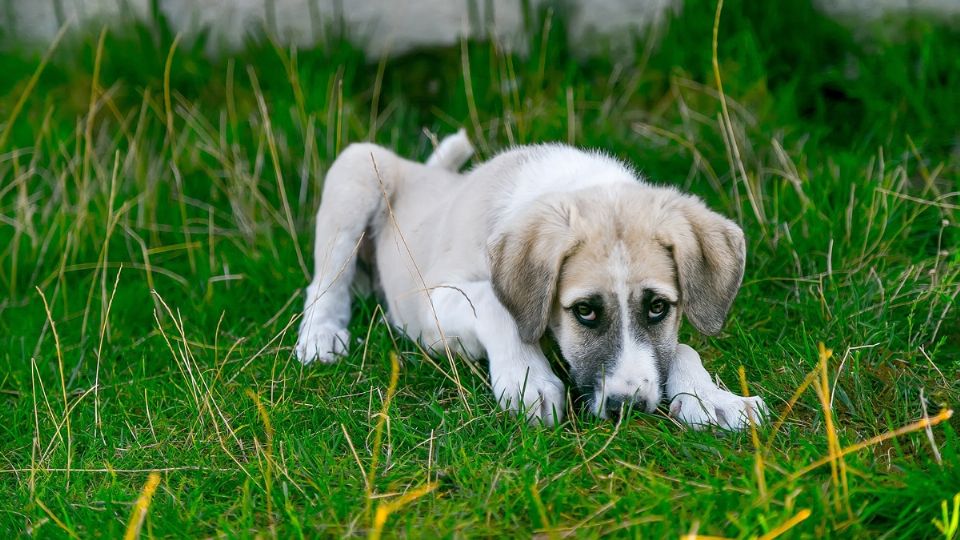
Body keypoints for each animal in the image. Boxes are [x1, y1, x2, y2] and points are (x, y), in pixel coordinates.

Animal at [292, 129, 764, 428]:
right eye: (584, 311)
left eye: (658, 307)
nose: (626, 407)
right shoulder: (432, 303)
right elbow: (495, 305)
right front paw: (527, 379)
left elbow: (681, 347)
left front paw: (712, 398)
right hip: (357, 169)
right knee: (325, 281)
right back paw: (321, 336)